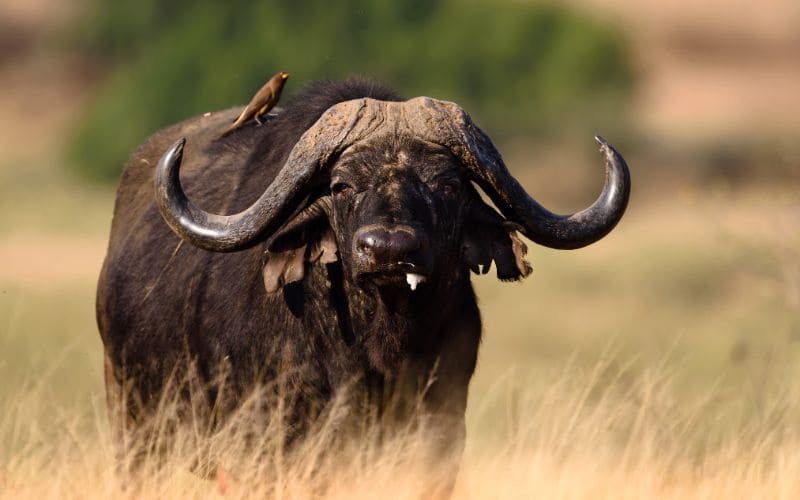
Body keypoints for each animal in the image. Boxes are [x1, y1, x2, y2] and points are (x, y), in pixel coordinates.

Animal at [97, 78, 630, 487]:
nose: (389, 250)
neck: (380, 350)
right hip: (134, 430)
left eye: (449, 186)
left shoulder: (440, 433)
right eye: (341, 185)